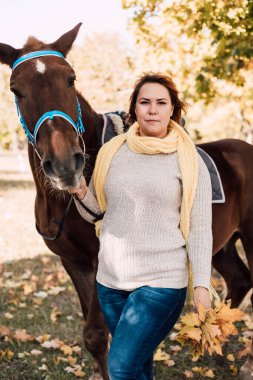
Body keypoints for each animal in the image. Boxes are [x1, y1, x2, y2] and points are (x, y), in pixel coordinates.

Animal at [0, 23, 253, 380]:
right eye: (16, 90)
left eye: (71, 79)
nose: (65, 165)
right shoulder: (73, 263)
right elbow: (96, 337)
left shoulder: (100, 263)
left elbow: (99, 332)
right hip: (220, 245)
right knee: (239, 279)